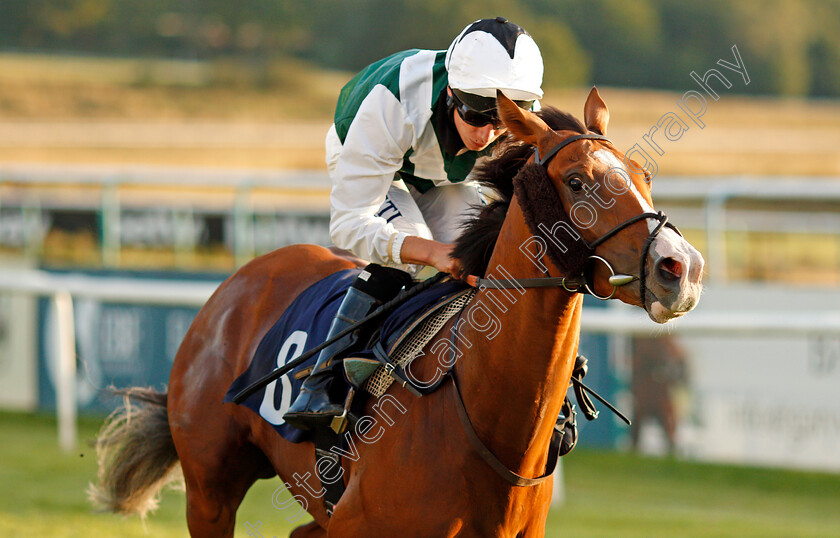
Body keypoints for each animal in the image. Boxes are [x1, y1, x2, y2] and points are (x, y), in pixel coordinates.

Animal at [88, 89, 704, 536]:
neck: (484, 418)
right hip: (210, 490)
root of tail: (235, 285)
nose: (681, 267)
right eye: (577, 181)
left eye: (645, 178)